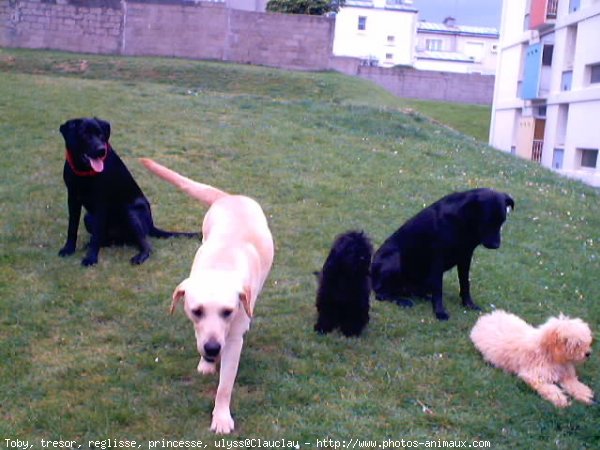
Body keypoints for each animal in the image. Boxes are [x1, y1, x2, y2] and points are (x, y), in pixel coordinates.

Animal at [58, 117, 196, 268]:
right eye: (84, 134)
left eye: (101, 134)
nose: (101, 150)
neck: (83, 171)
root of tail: (151, 225)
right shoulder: (72, 198)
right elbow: (72, 227)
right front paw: (68, 249)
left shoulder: (100, 202)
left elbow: (96, 235)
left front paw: (91, 258)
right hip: (88, 217)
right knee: (107, 239)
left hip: (129, 212)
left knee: (146, 245)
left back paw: (140, 256)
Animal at [372, 188, 512, 322]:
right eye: (487, 221)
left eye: (502, 221)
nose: (496, 245)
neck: (462, 221)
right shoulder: (438, 259)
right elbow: (438, 288)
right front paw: (440, 312)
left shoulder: (466, 256)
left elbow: (465, 284)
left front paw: (468, 304)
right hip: (394, 259)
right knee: (381, 293)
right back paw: (402, 301)